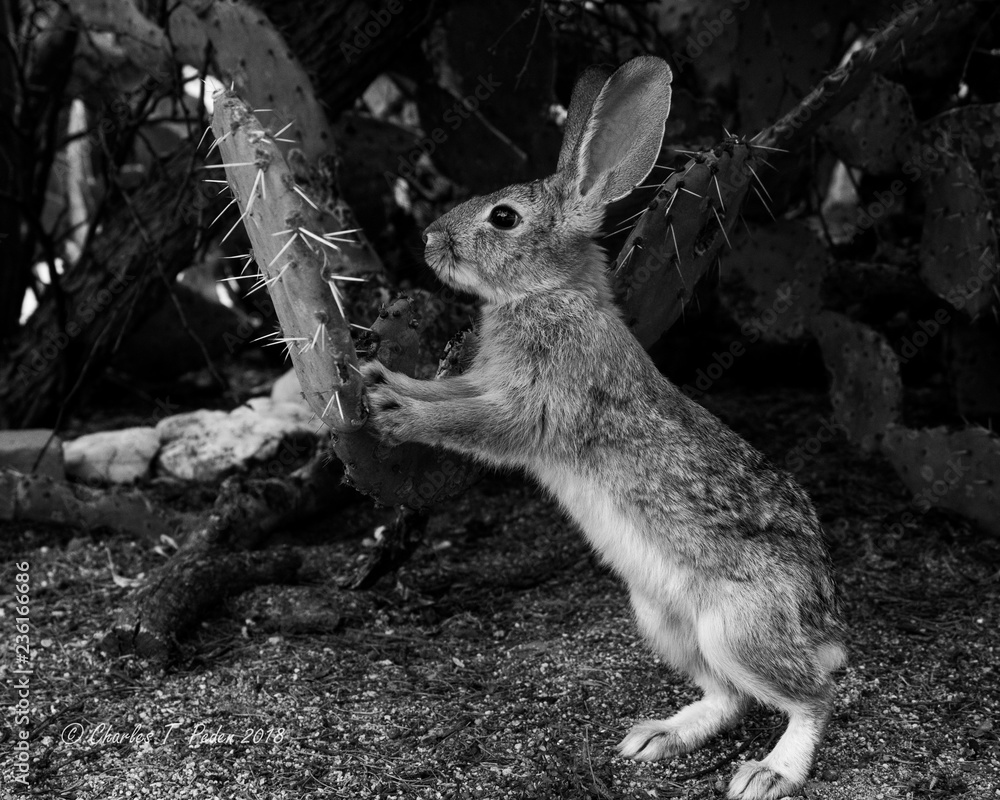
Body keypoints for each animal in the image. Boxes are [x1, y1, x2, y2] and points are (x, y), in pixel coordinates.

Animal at [364, 56, 848, 800]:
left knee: (813, 697)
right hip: (661, 618)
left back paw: (770, 773)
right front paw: (377, 378)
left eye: (503, 218)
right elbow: (450, 392)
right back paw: (659, 737)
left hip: (742, 628)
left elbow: (466, 420)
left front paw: (397, 411)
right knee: (728, 695)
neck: (549, 294)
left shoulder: (532, 406)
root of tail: (821, 616)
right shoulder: (487, 380)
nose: (429, 239)